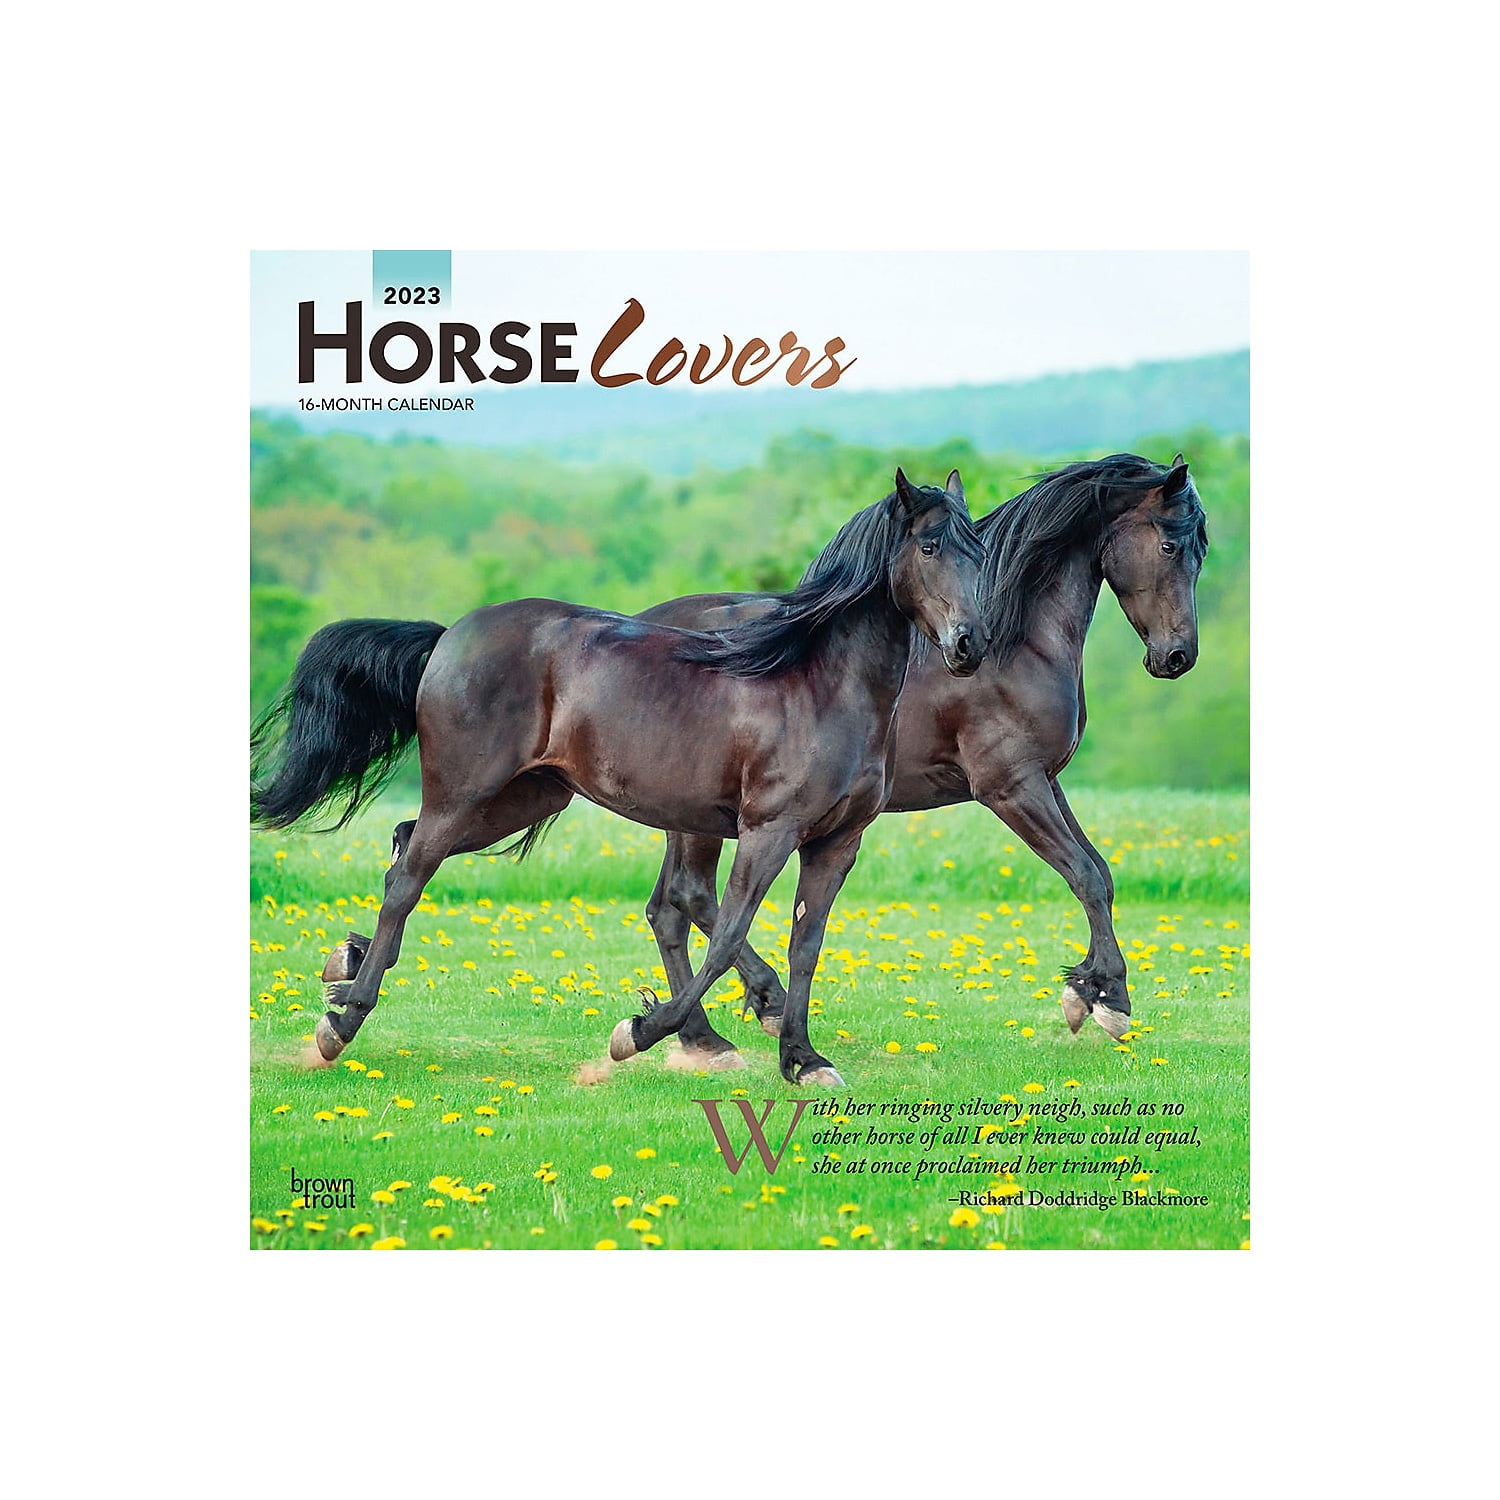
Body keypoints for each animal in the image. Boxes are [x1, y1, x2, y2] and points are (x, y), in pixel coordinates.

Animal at [251, 469, 988, 1086]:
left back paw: (346, 968)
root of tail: (449, 637)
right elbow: (727, 932)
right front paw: (638, 1032)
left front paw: (804, 1061)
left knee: (403, 847)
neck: (819, 686)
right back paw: (341, 1022)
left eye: (978, 552)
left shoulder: (836, 843)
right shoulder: (768, 830)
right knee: (409, 878)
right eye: (929, 546)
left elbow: (806, 945)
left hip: (523, 798)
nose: (969, 645)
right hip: (464, 794)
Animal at [627, 453, 1208, 1060]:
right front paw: (1108, 1000)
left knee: (666, 909)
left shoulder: (1046, 779)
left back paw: (700, 1037)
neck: (1018, 642)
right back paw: (759, 1004)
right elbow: (1084, 875)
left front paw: (1088, 989)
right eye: (1170, 544)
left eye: (1202, 549)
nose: (1178, 656)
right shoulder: (1011, 786)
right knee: (692, 897)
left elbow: (1101, 872)